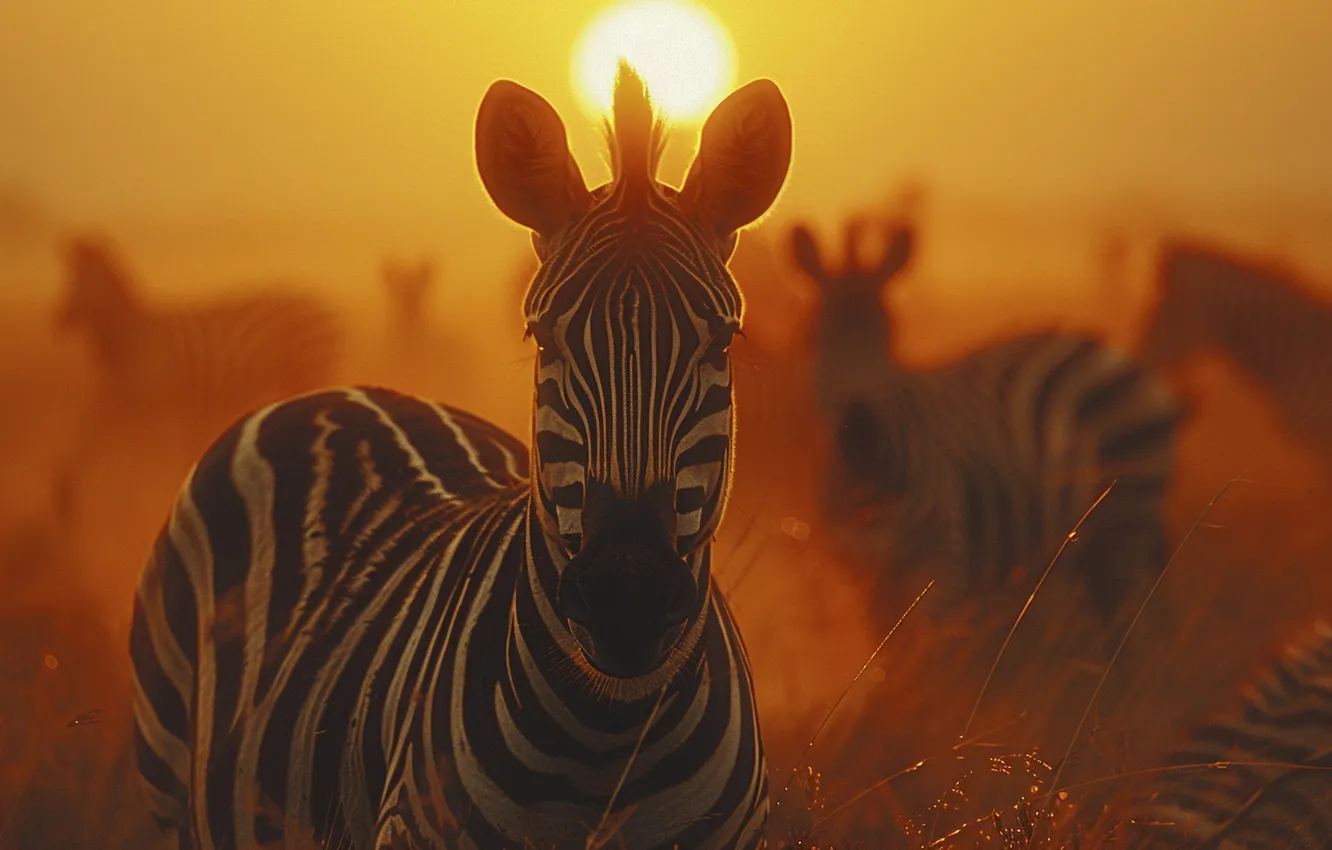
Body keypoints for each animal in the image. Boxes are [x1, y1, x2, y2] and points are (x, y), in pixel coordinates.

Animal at [129, 62, 792, 849]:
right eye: (544, 338)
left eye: (721, 342)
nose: (624, 598)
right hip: (163, 784)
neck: (607, 737)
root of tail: (341, 390)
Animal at [790, 219, 1184, 624]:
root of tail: (1101, 344)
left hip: (1125, 518)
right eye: (815, 334)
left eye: (890, 331)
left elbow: (921, 643)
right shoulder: (859, 568)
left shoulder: (944, 560)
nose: (862, 431)